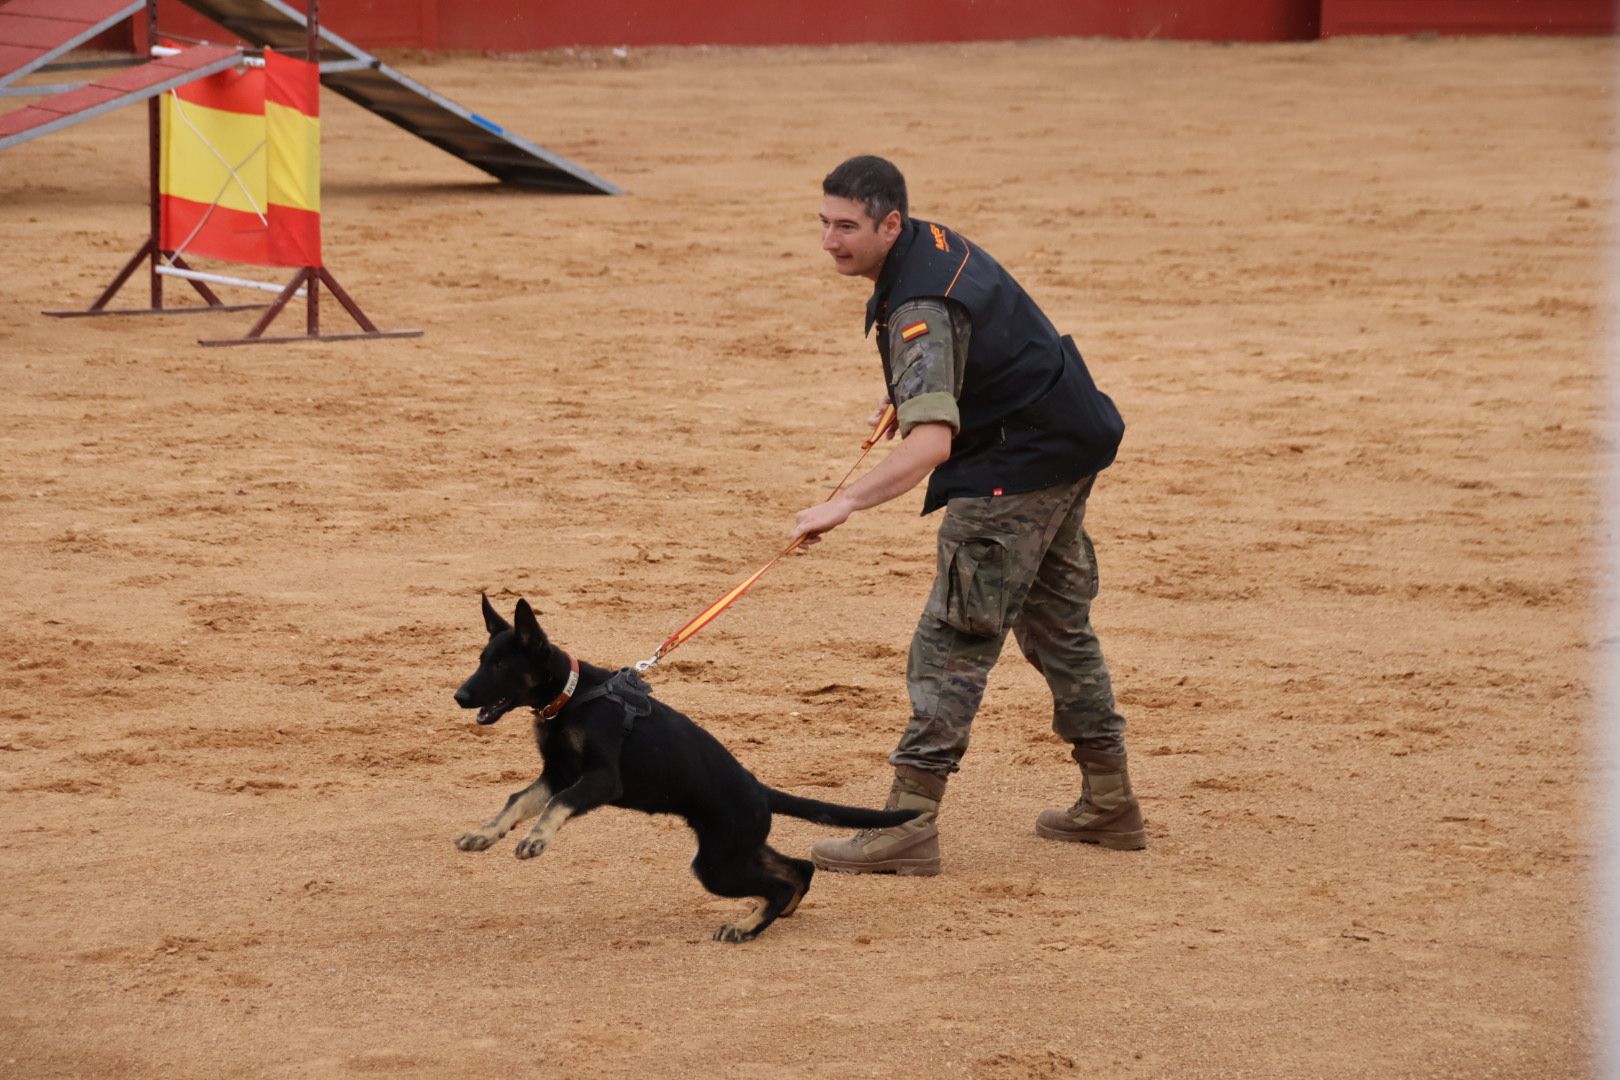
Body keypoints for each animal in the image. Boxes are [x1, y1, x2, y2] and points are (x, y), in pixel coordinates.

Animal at [453, 595, 913, 939]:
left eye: (500, 666)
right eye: (481, 659)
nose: (459, 696)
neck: (571, 697)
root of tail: (760, 790)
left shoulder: (600, 780)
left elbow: (557, 804)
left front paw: (535, 839)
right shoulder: (556, 774)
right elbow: (518, 799)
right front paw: (483, 834)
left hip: (717, 863)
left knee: (781, 883)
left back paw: (745, 927)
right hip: (735, 848)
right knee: (799, 868)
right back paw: (771, 913)